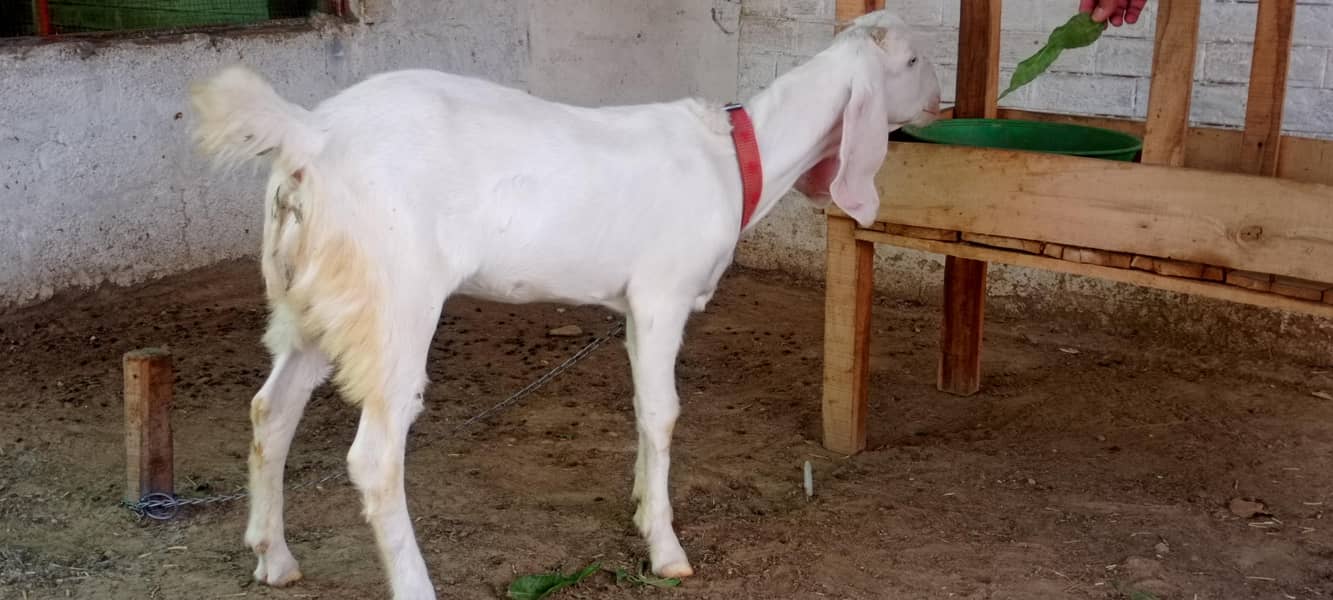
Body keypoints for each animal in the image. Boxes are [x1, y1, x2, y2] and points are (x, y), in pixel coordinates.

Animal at [189, 9, 939, 599]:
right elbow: (665, 413)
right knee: (374, 455)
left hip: (311, 297)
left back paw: (274, 557)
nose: (939, 103)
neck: (734, 159)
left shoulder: (633, 307)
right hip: (391, 297)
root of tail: (310, 134)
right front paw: (666, 550)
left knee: (271, 409)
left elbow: (641, 409)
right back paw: (412, 583)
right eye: (909, 60)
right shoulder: (662, 294)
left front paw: (639, 505)